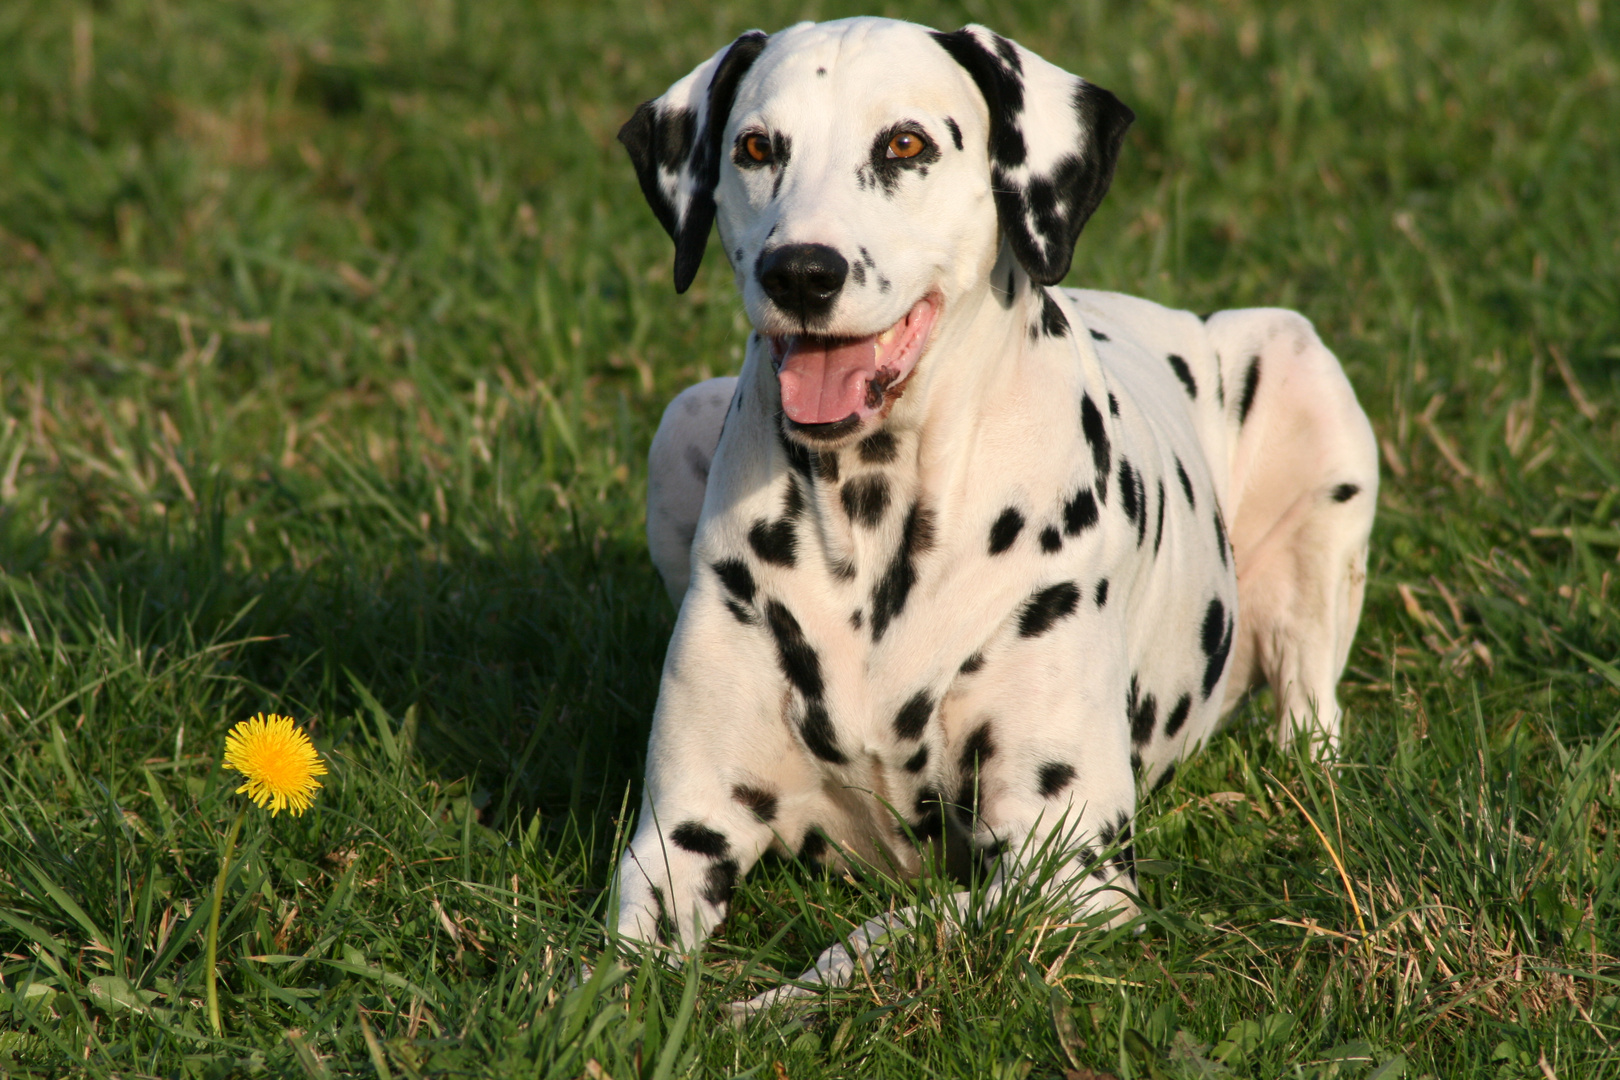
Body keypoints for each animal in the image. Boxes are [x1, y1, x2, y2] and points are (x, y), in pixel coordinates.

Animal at [612, 16, 1373, 1016]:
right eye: (755, 148)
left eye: (905, 145)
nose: (801, 272)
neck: (876, 518)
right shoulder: (680, 833)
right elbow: (613, 972)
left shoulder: (1068, 867)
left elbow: (876, 941)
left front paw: (769, 1008)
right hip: (678, 421)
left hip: (1298, 366)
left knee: (1310, 715)